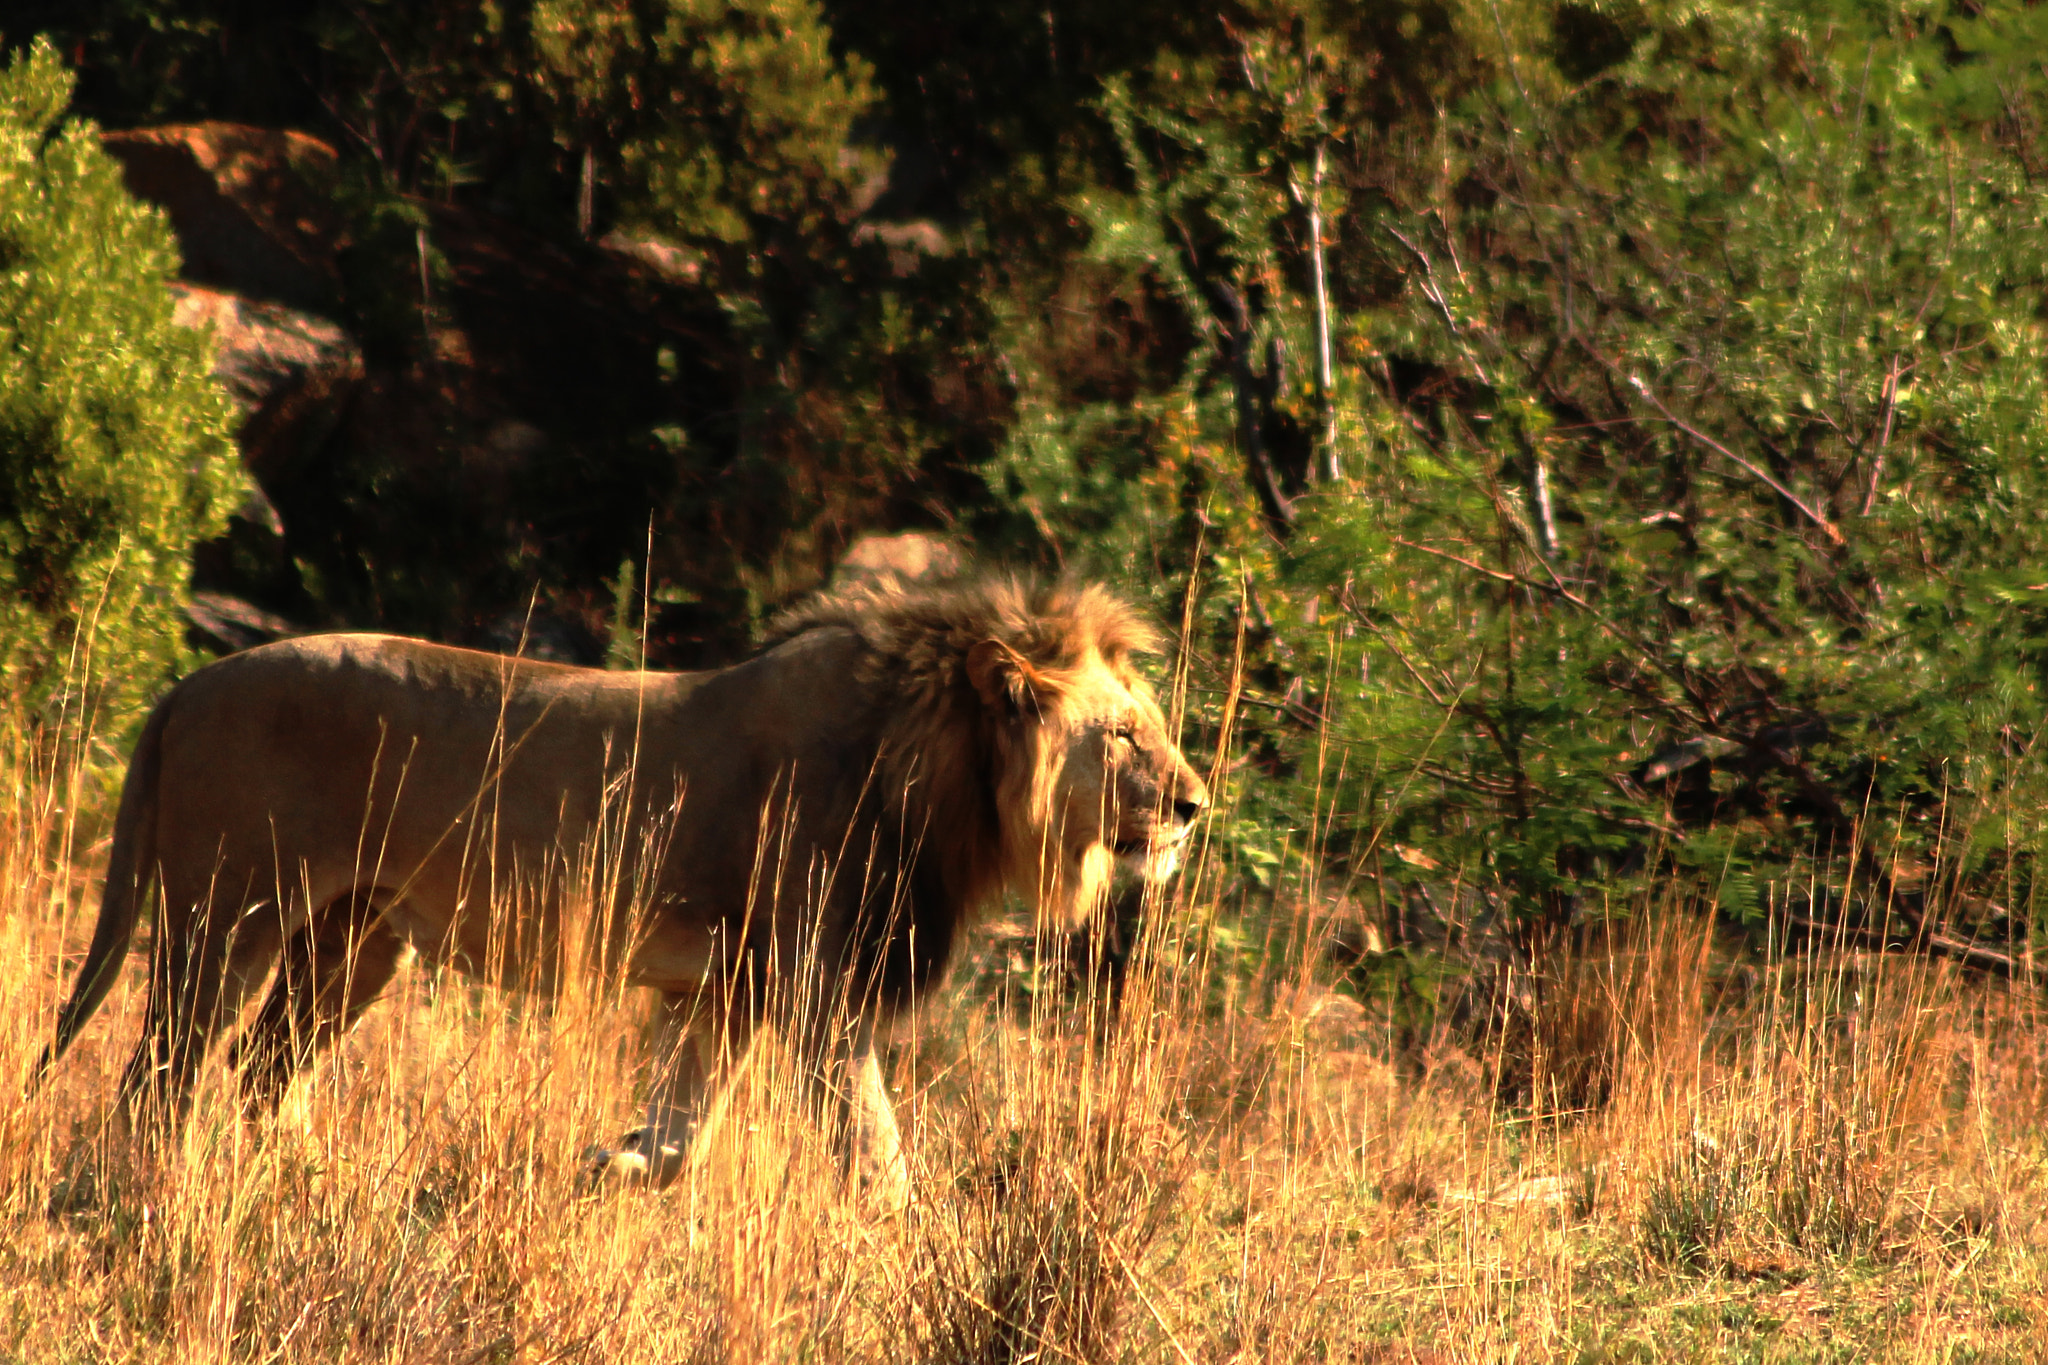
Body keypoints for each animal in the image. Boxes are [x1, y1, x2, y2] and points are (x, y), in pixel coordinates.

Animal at [36, 576, 1208, 1197]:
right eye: (1121, 735)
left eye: (1154, 725)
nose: (1195, 803)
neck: (936, 768)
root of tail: (190, 682)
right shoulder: (818, 989)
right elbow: (875, 1152)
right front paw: (910, 1254)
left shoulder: (729, 990)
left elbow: (686, 1127)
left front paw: (614, 1162)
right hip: (227, 916)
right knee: (161, 1075)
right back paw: (153, 1196)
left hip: (354, 941)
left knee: (259, 1078)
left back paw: (296, 1191)